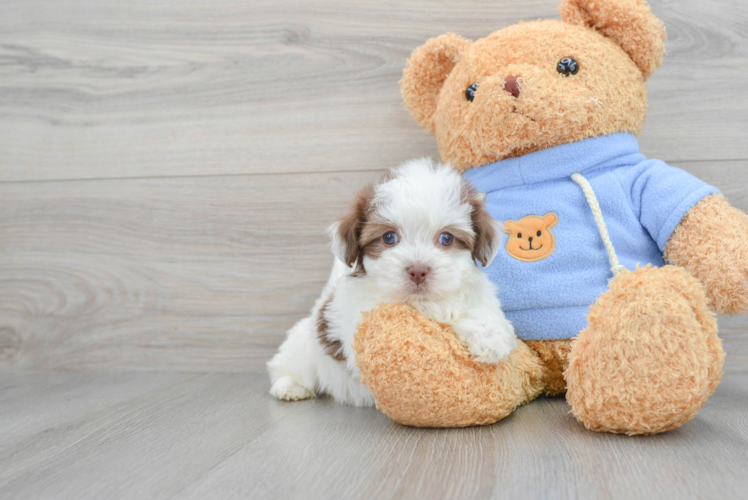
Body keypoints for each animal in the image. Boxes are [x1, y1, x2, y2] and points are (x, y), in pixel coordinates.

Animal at [266, 160, 516, 406]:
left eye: (446, 238)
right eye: (389, 237)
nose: (418, 270)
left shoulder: (477, 295)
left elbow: (482, 309)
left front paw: (491, 339)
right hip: (303, 348)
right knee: (289, 366)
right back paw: (290, 387)